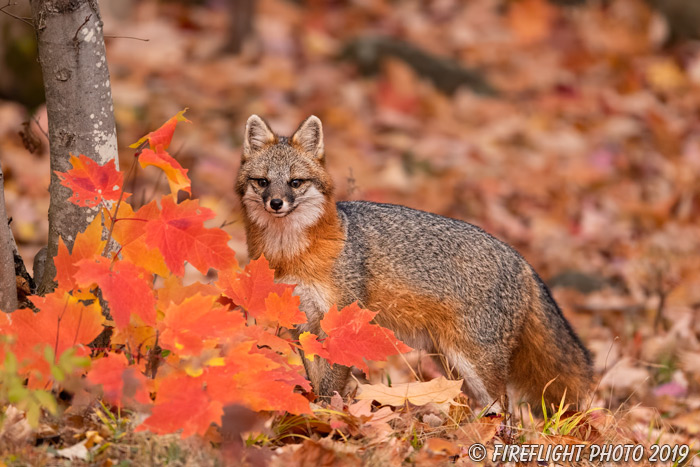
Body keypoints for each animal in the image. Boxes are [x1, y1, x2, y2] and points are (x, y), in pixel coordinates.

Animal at [235, 115, 592, 412]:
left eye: (295, 182)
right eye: (262, 182)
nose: (276, 203)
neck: (291, 256)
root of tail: (520, 258)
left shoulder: (342, 323)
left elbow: (331, 385)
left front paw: (325, 417)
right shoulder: (303, 328)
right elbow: (313, 379)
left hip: (475, 361)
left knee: (506, 410)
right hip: (451, 362)